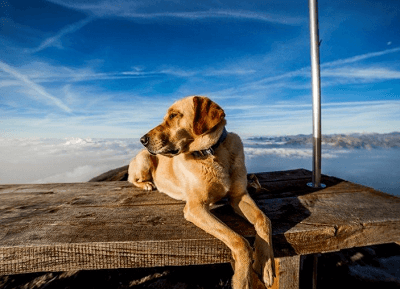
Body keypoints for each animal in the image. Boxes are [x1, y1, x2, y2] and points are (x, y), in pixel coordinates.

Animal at [129, 95, 276, 286]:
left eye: (174, 115)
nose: (142, 139)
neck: (211, 153)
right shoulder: (195, 208)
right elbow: (239, 241)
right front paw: (242, 279)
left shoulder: (239, 197)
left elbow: (264, 220)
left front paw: (266, 264)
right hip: (145, 158)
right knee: (133, 178)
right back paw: (147, 184)